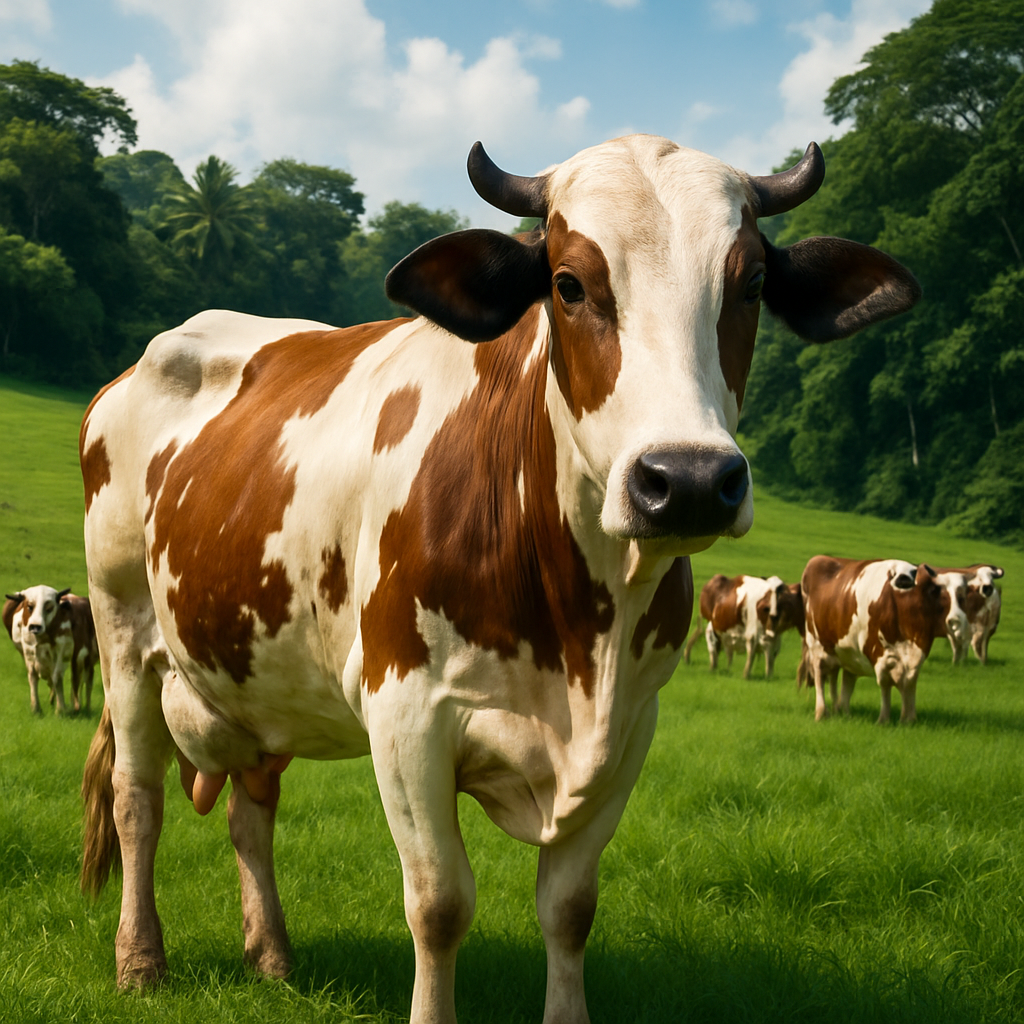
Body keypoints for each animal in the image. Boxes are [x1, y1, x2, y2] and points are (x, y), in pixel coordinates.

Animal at [3, 585, 98, 715]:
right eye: (29, 606)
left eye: (49, 608)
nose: (35, 626)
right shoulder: (28, 650)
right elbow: (33, 676)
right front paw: (36, 708)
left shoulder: (64, 651)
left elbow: (57, 677)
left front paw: (61, 709)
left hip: (85, 657)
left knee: (84, 680)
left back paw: (83, 707)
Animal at [78, 134, 920, 1023]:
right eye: (569, 283)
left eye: (752, 282)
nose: (688, 480)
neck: (582, 641)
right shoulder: (407, 714)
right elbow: (439, 903)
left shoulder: (634, 724)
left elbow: (570, 907)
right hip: (123, 631)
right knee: (137, 798)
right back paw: (140, 960)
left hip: (255, 672)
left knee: (252, 808)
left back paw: (270, 953)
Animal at [800, 556, 966, 724]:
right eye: (934, 591)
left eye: (962, 596)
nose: (956, 621)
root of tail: (820, 558)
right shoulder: (880, 653)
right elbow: (886, 683)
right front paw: (884, 719)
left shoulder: (915, 656)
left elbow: (909, 682)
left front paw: (908, 719)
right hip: (817, 647)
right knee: (820, 676)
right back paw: (821, 713)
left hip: (846, 653)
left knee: (843, 680)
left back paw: (842, 712)